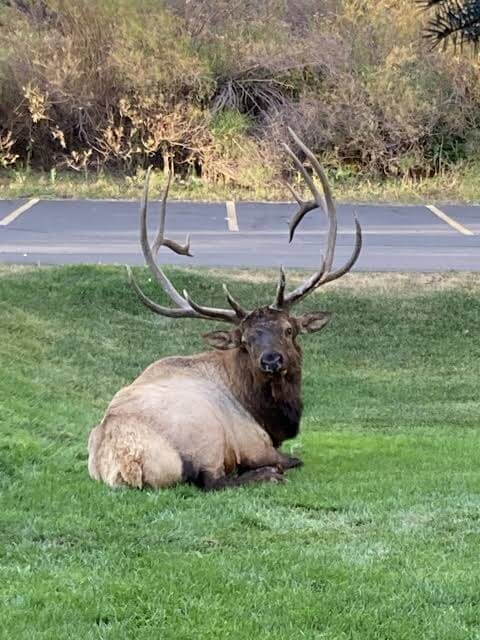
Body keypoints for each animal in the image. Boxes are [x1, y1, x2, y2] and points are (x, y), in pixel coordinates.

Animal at [87, 129, 362, 491]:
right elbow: (293, 458)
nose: (271, 360)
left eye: (289, 330)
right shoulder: (255, 442)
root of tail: (125, 461)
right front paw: (276, 467)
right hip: (207, 438)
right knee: (213, 480)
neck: (268, 416)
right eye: (245, 341)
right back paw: (267, 475)